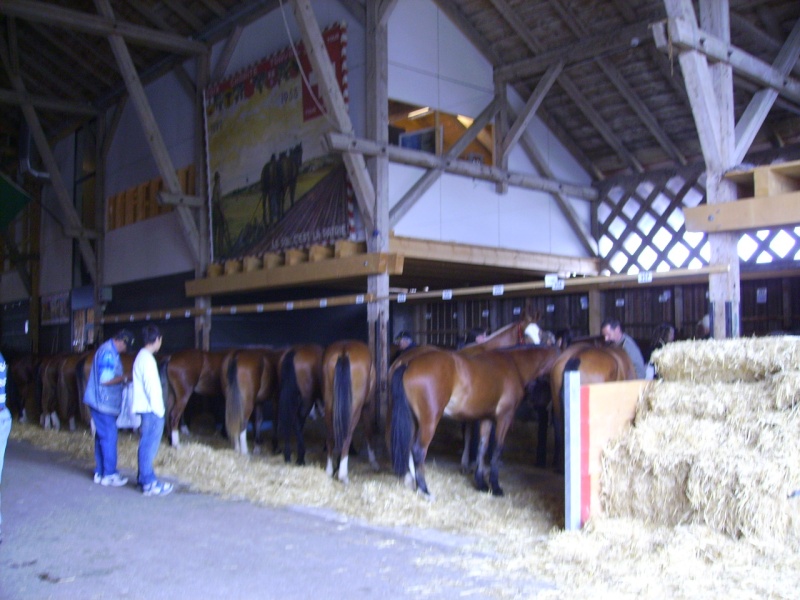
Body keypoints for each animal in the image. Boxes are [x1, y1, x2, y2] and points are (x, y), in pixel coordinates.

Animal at [322, 340, 378, 486]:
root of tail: (344, 351)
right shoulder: (367, 406)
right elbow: (369, 431)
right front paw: (374, 461)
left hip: (329, 405)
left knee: (330, 436)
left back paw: (330, 470)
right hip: (355, 408)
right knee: (347, 436)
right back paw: (343, 475)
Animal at [390, 342, 560, 496]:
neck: (514, 365)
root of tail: (408, 364)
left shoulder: (487, 419)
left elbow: (482, 448)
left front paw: (481, 484)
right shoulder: (504, 418)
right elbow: (497, 450)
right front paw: (495, 486)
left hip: (414, 421)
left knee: (409, 449)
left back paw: (413, 482)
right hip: (429, 422)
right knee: (418, 451)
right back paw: (424, 489)